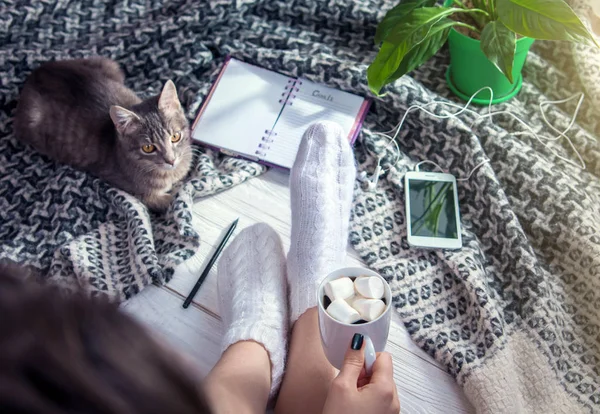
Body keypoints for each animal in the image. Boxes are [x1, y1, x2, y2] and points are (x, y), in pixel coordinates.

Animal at [14, 57, 192, 212]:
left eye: (175, 137)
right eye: (148, 148)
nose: (171, 160)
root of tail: (37, 72)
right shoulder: (135, 190)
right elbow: (167, 200)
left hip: (108, 64)